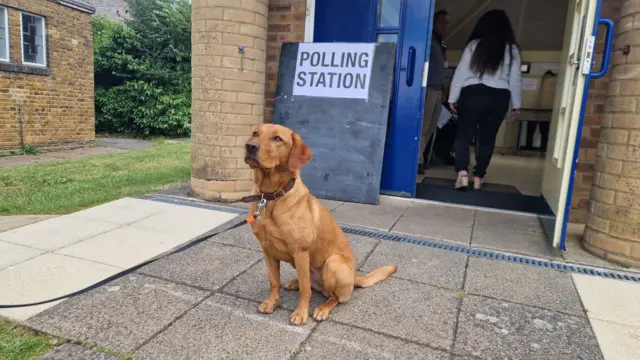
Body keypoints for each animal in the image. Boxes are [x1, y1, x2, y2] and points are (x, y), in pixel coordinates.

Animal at [244, 124, 398, 326]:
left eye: (277, 138)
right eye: (255, 133)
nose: (250, 146)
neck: (271, 196)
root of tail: (354, 278)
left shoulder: (300, 252)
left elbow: (305, 291)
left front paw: (301, 313)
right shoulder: (268, 250)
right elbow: (274, 281)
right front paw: (272, 303)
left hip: (333, 264)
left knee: (333, 297)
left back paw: (322, 309)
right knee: (311, 285)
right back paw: (294, 283)